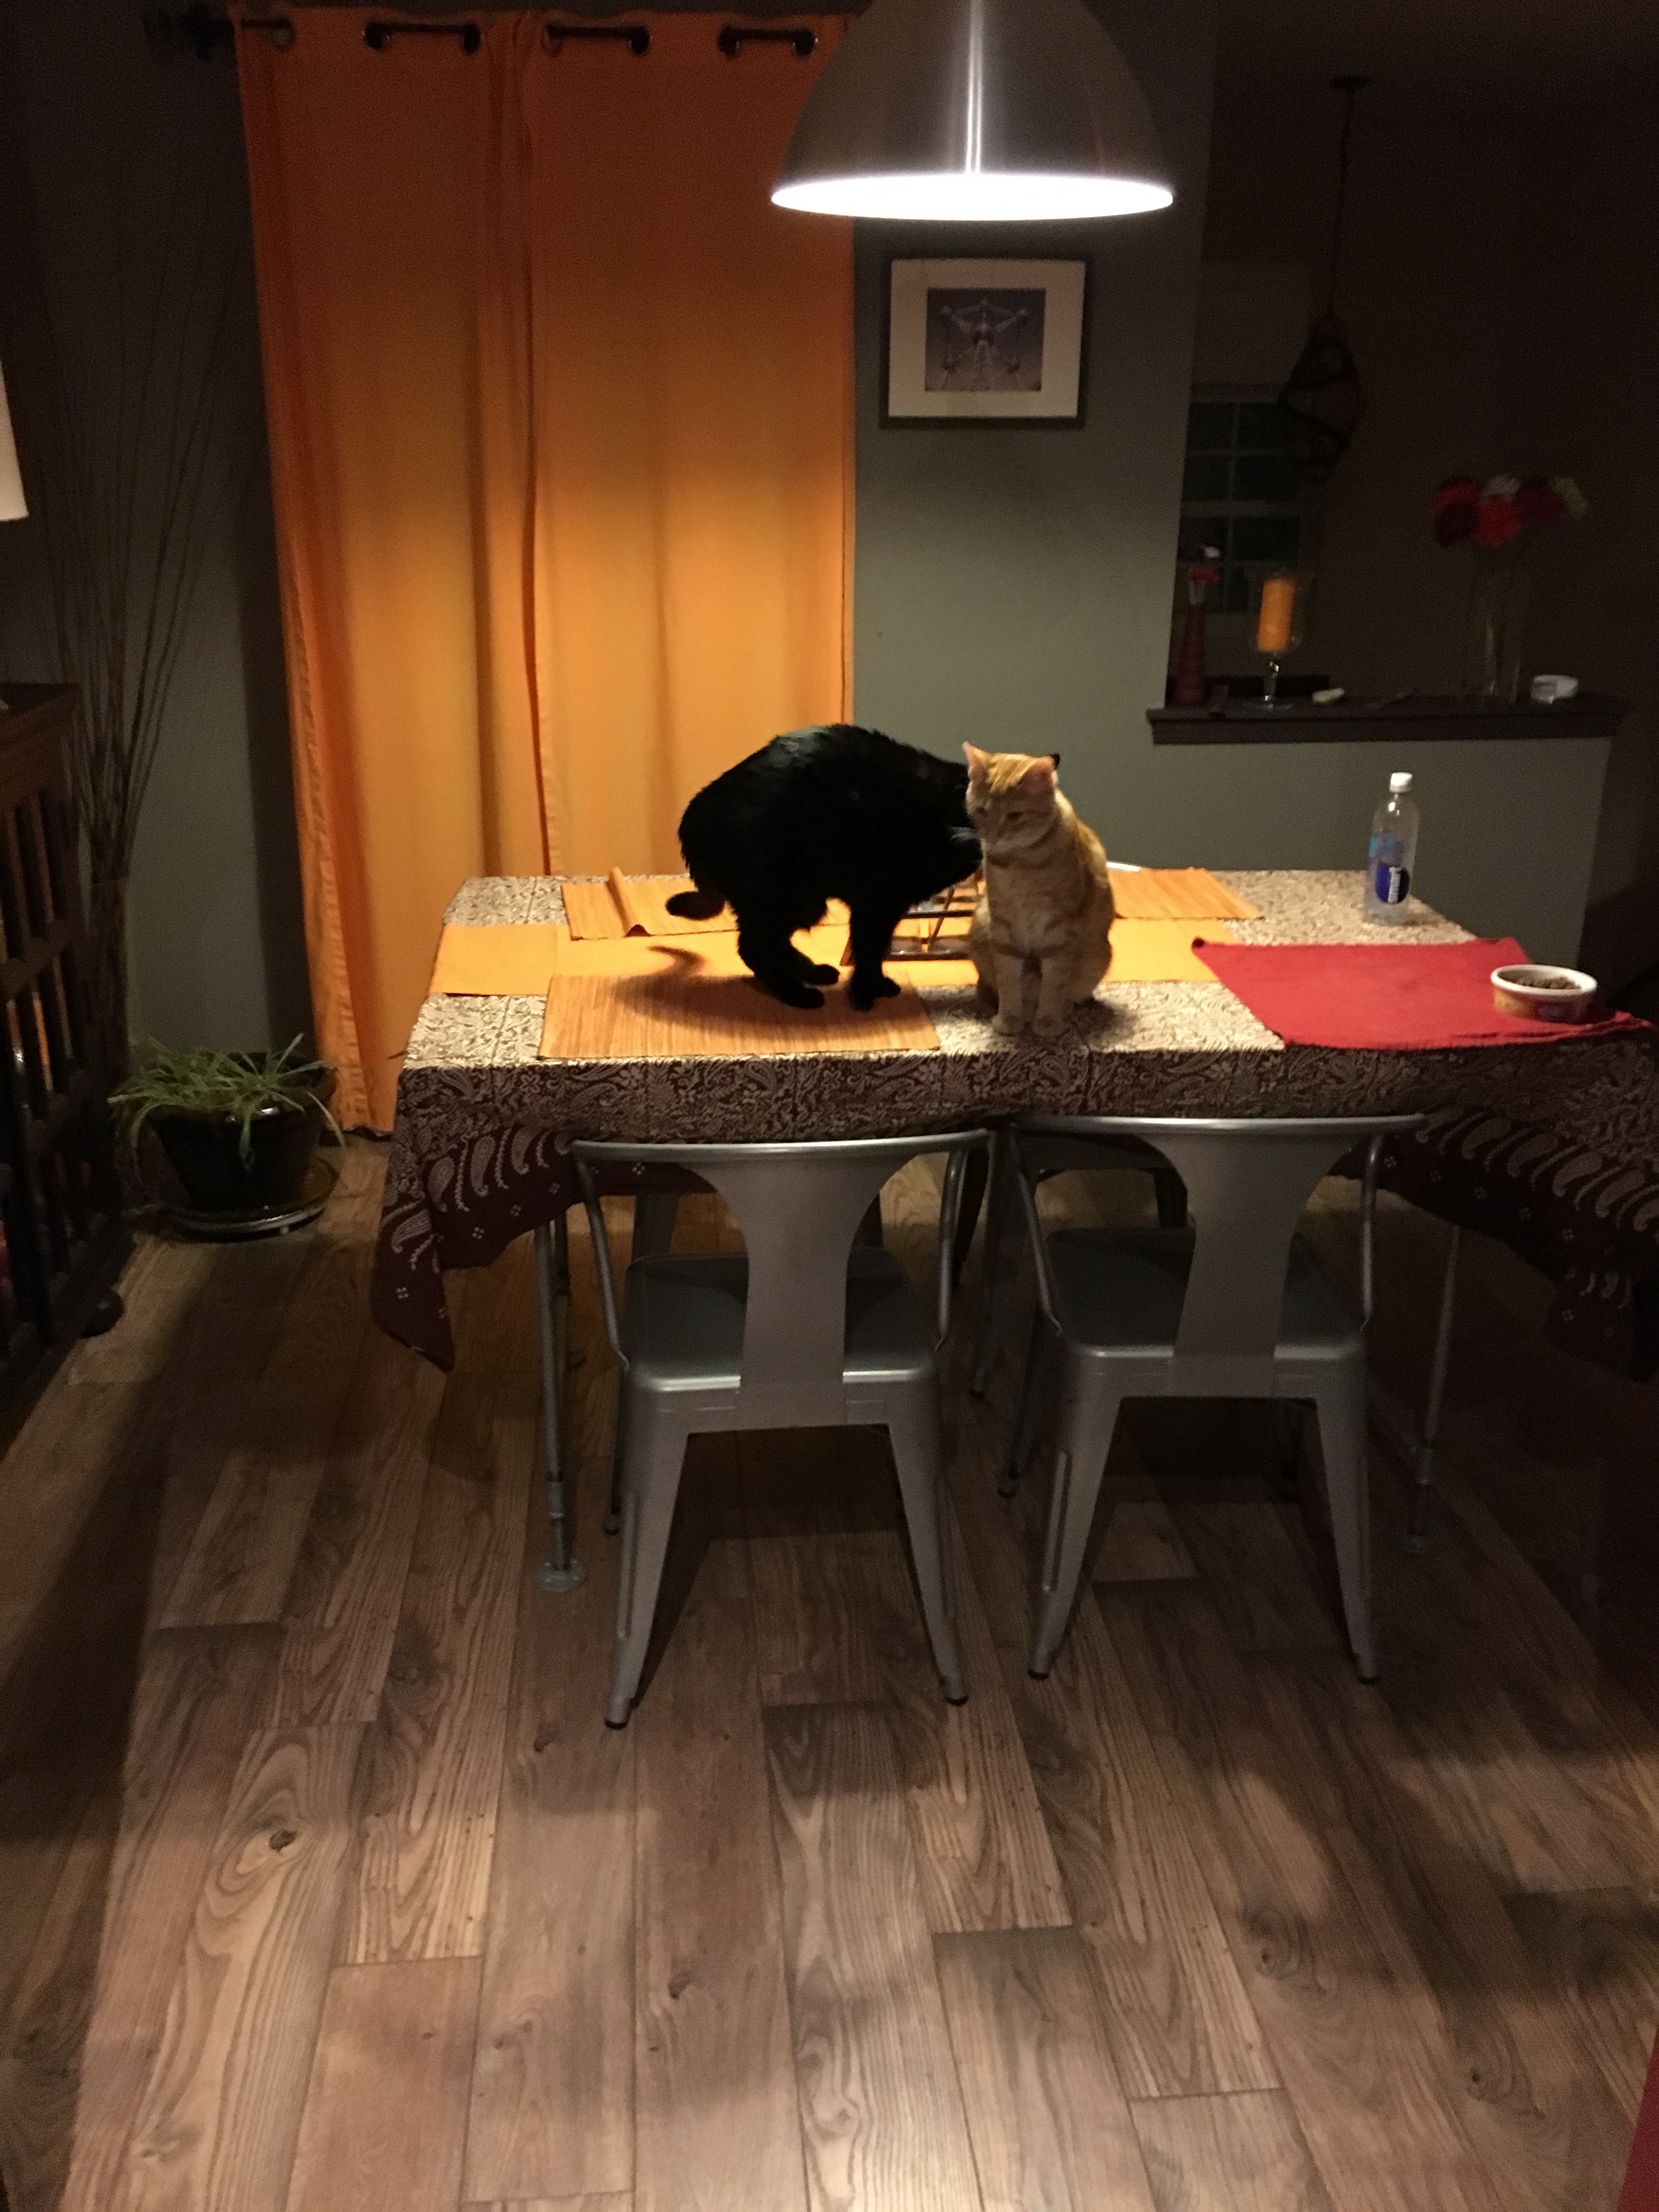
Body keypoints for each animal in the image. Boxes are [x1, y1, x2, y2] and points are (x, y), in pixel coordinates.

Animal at [666, 724, 982, 1010]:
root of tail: (696, 808)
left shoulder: (886, 905)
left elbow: (877, 947)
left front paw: (876, 986)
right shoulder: (878, 901)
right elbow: (869, 949)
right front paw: (864, 995)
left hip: (796, 902)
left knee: (768, 943)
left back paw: (813, 972)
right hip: (790, 896)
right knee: (754, 948)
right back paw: (800, 995)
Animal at [964, 745, 1115, 1038]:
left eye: (1014, 816)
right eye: (982, 811)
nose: (993, 836)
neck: (1019, 863)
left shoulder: (1059, 930)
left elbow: (1054, 983)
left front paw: (1048, 1021)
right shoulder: (1003, 925)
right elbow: (1008, 980)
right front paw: (1010, 1019)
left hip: (1098, 957)